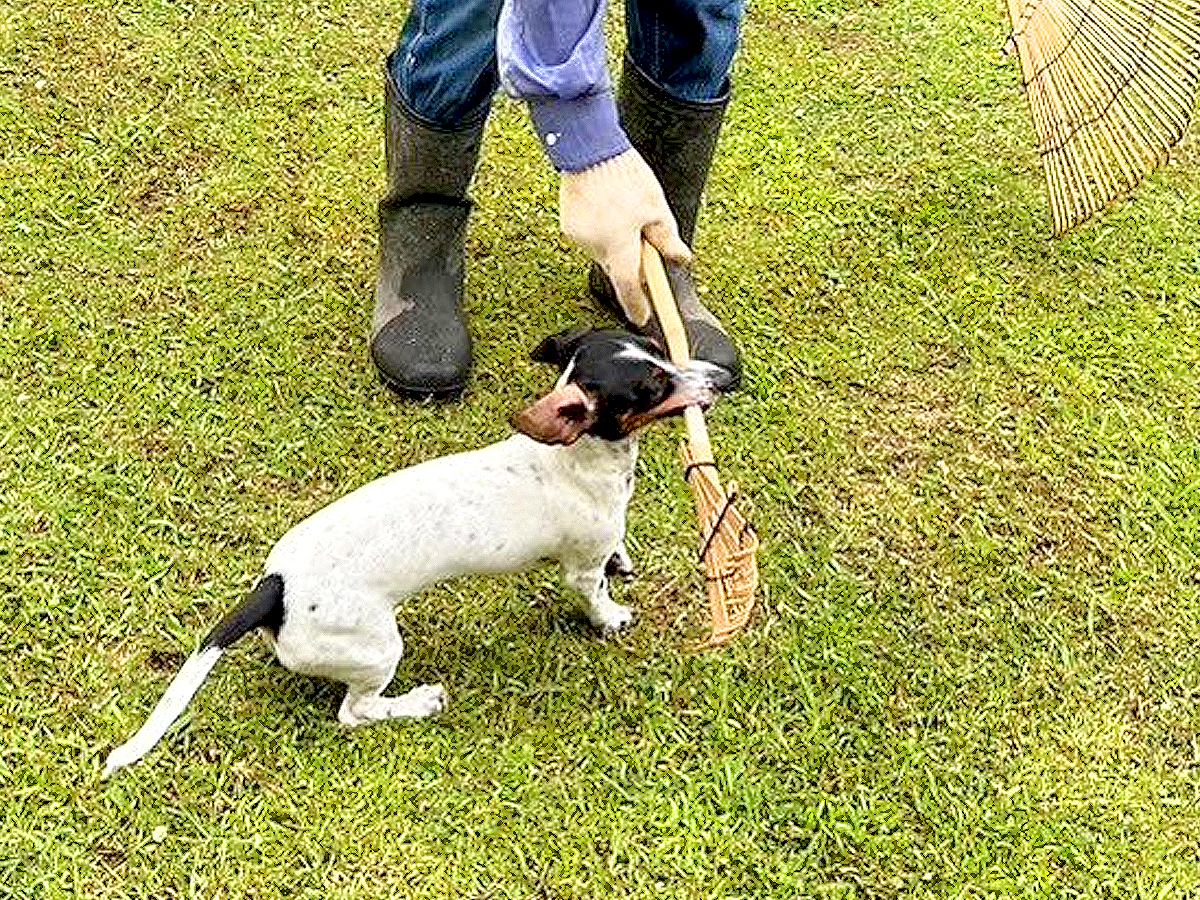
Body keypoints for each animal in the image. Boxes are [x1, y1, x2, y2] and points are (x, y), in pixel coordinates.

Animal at [103, 328, 715, 777]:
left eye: (659, 347)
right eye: (653, 386)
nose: (722, 377)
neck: (575, 456)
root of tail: (274, 589)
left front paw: (624, 563)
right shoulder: (580, 568)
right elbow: (596, 594)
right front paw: (612, 617)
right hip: (376, 649)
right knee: (356, 712)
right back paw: (417, 703)